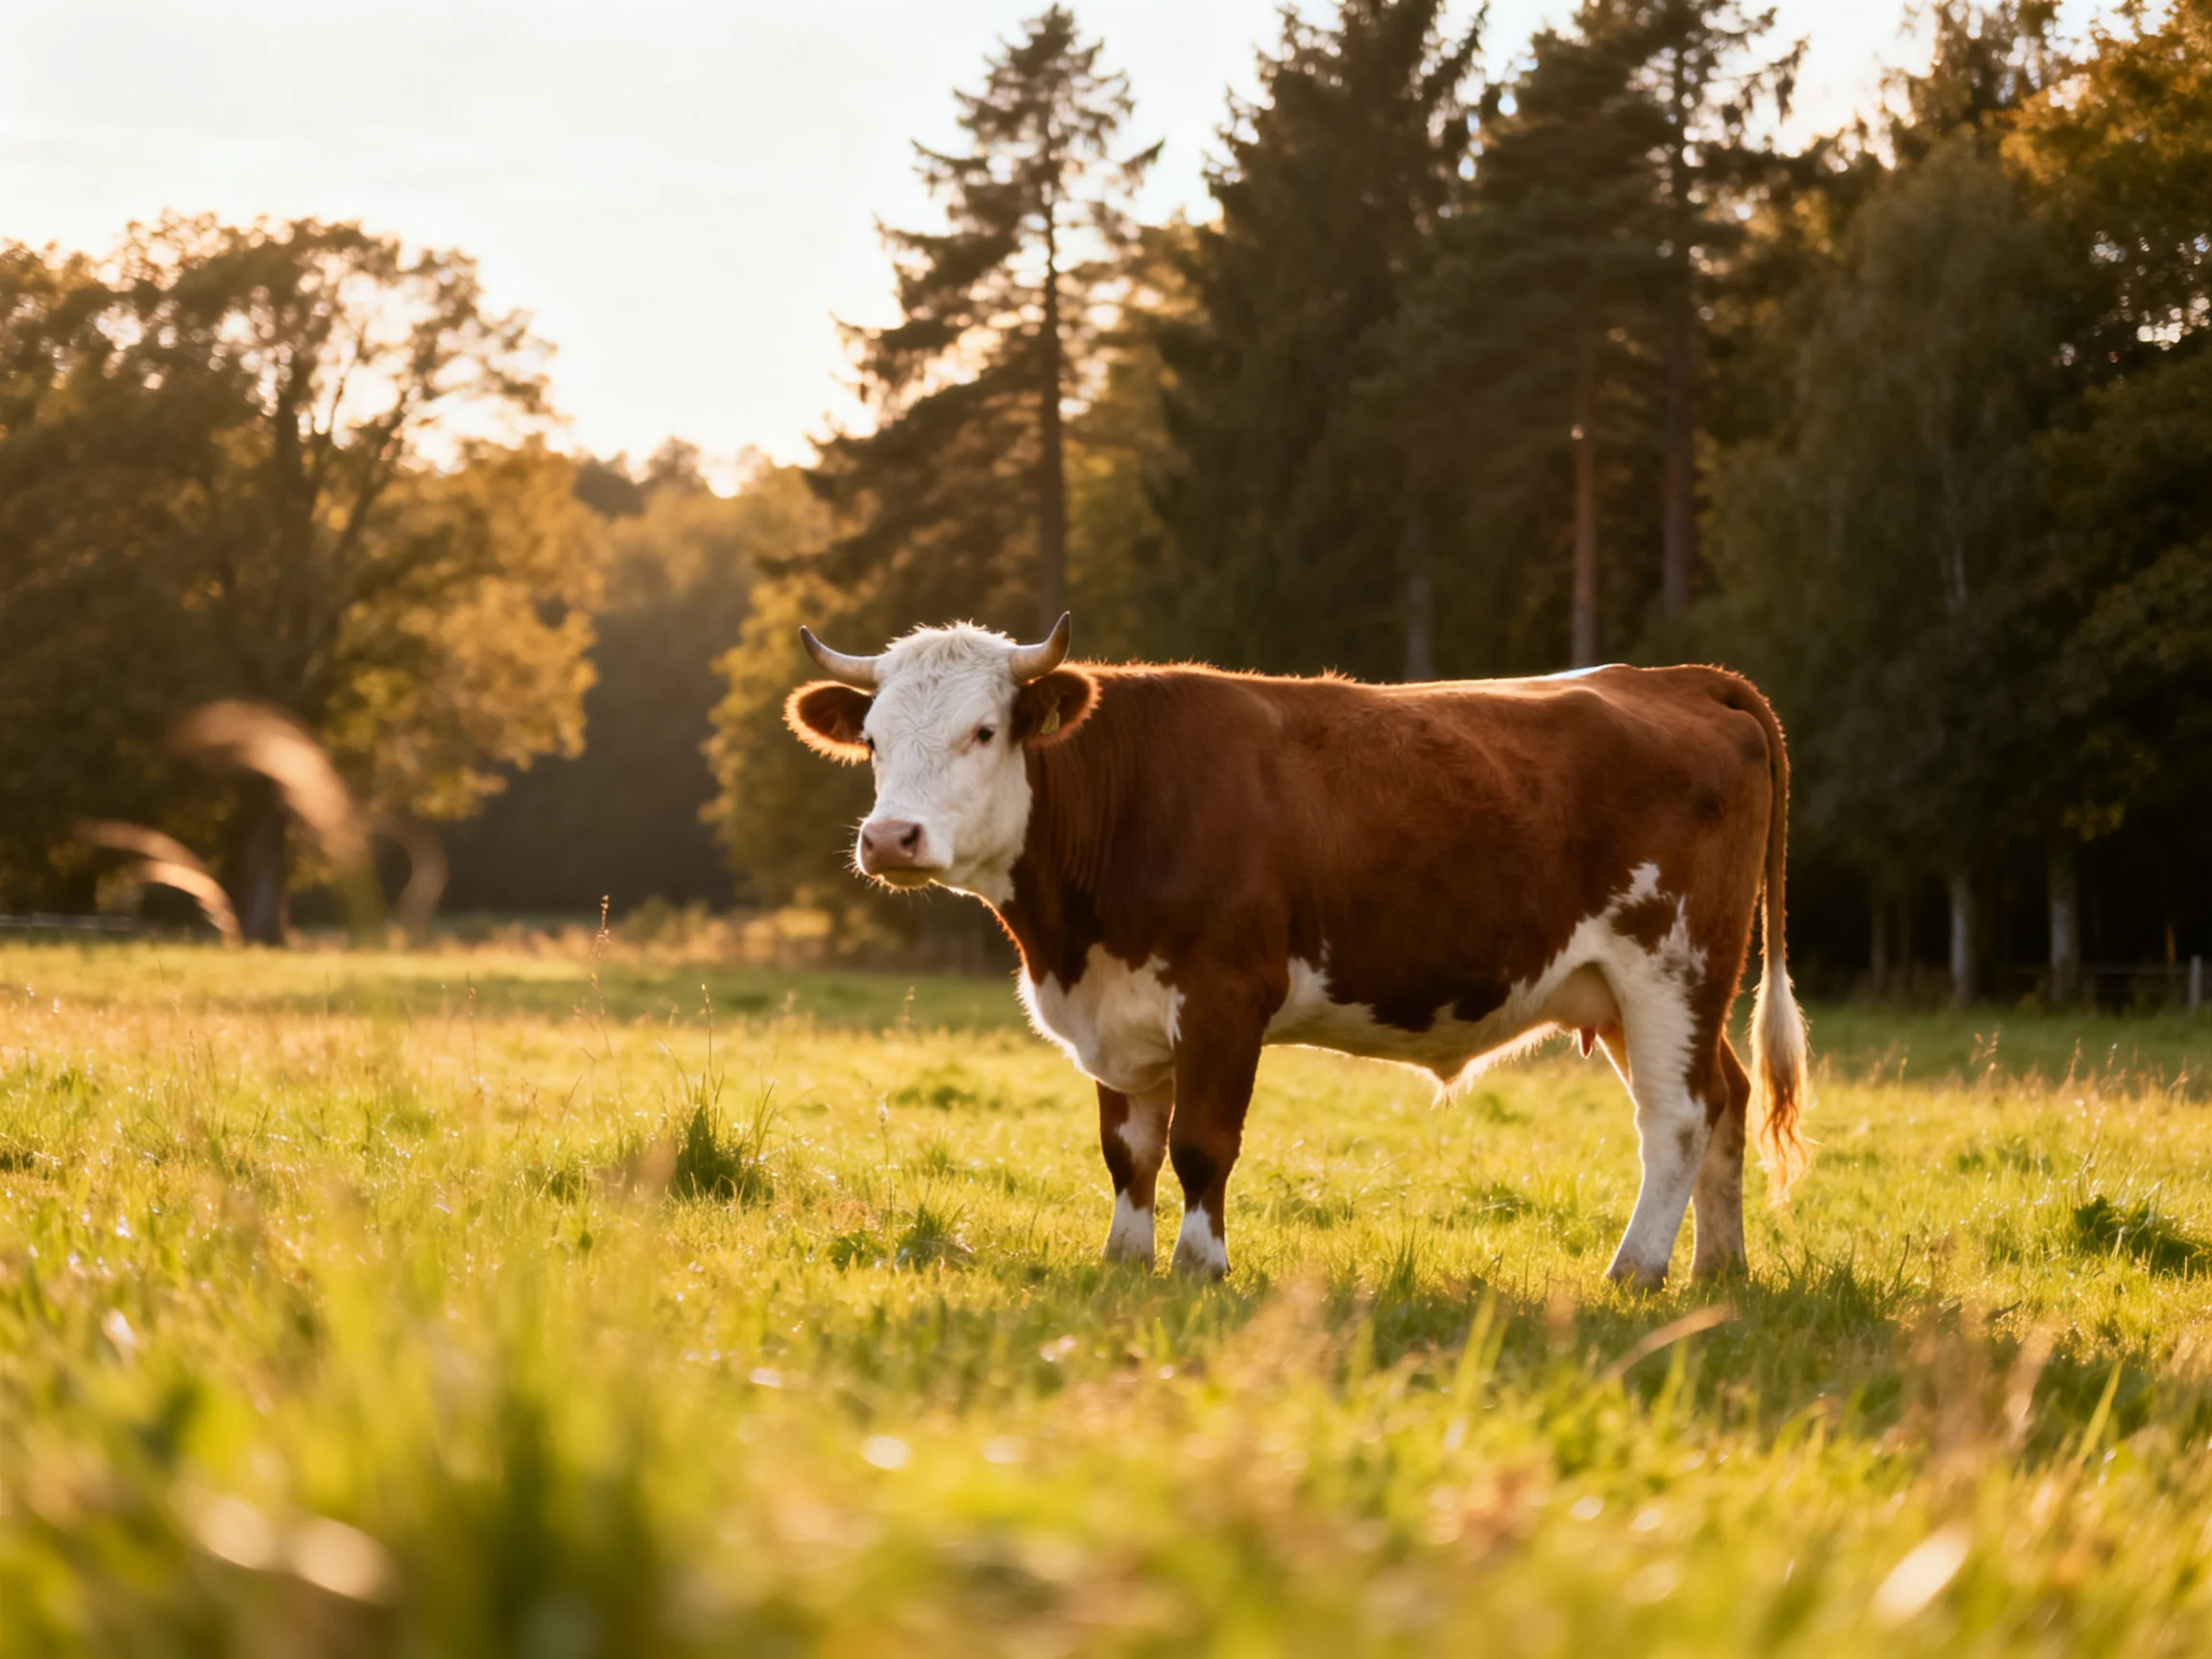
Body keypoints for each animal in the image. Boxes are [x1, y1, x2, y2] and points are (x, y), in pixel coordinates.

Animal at [785, 614, 1809, 1288]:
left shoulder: (1225, 996)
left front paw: (1199, 1267)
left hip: (1670, 965)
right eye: (871, 739)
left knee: (1677, 1118)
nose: (891, 838)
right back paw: (1719, 1271)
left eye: (985, 730)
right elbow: (1128, 1149)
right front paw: (1124, 1262)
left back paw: (1634, 1271)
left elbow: (1201, 1144)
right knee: (1726, 1098)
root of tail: (1680, 677)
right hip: (1642, 990)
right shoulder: (1116, 1014)